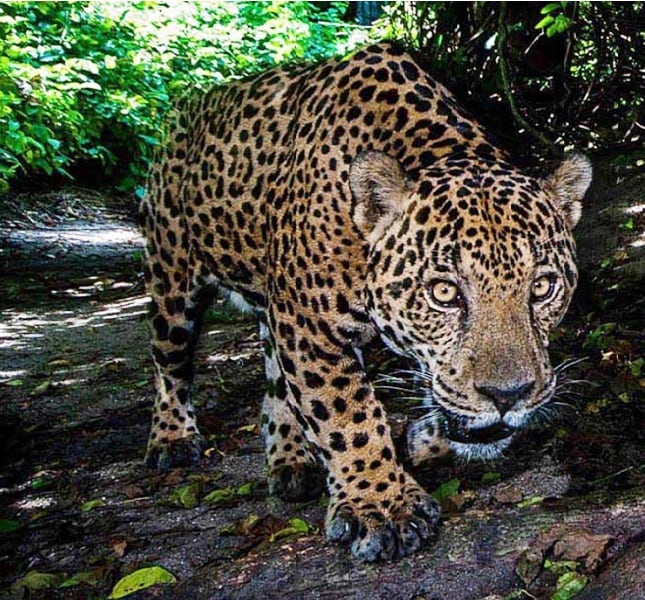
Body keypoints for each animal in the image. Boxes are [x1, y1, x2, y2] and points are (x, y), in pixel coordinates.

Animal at [138, 42, 592, 562]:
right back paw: (173, 440)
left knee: (273, 377)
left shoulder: (294, 316)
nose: (507, 395)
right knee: (169, 364)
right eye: (444, 292)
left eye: (542, 287)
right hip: (172, 276)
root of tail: (186, 104)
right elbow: (346, 412)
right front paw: (383, 508)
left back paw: (290, 458)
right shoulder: (309, 325)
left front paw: (424, 439)